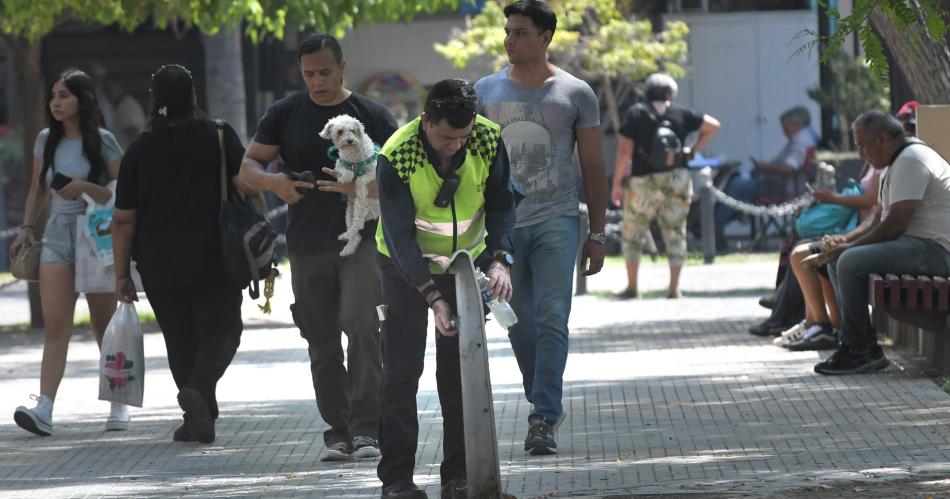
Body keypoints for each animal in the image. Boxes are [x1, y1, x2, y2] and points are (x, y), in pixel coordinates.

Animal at [320, 114, 380, 258]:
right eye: (340, 131)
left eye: (352, 130)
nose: (349, 140)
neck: (354, 159)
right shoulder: (341, 164)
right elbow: (345, 172)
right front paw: (345, 177)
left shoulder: (374, 170)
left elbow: (361, 180)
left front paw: (359, 187)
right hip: (349, 212)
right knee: (356, 232)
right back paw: (348, 244)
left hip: (363, 205)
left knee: (358, 223)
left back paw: (346, 236)